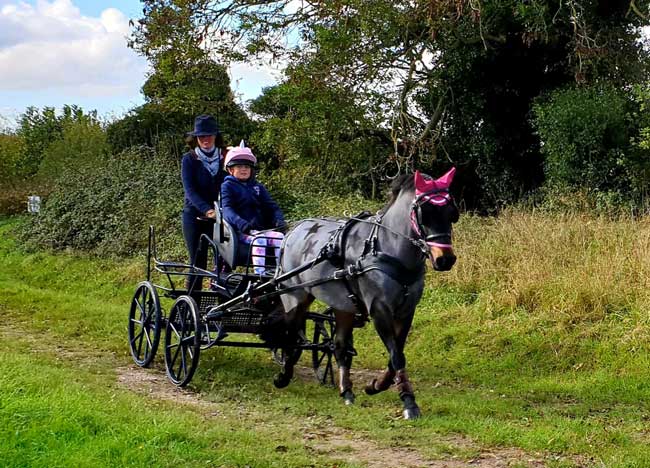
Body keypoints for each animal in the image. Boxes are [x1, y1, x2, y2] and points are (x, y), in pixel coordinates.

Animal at [270, 168, 458, 420]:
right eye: (424, 214)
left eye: (451, 213)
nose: (445, 259)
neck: (388, 248)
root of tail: (294, 231)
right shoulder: (379, 309)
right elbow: (396, 355)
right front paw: (408, 401)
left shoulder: (406, 311)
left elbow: (396, 354)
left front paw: (376, 385)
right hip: (294, 295)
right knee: (290, 334)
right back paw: (284, 375)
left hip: (343, 305)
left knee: (338, 344)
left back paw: (346, 391)